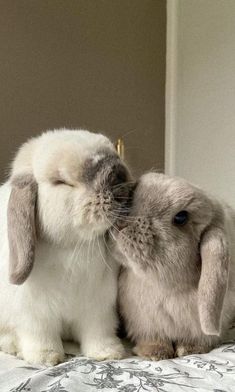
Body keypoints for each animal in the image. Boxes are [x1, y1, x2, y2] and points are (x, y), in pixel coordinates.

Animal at [0, 129, 132, 364]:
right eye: (61, 181)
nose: (118, 177)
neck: (71, 247)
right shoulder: (35, 315)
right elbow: (41, 335)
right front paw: (46, 357)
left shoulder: (98, 310)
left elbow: (98, 333)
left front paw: (108, 353)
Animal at [114, 173, 235, 360]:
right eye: (134, 192)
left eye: (181, 217)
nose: (122, 222)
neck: (167, 287)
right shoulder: (145, 323)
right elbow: (153, 338)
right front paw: (155, 352)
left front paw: (190, 349)